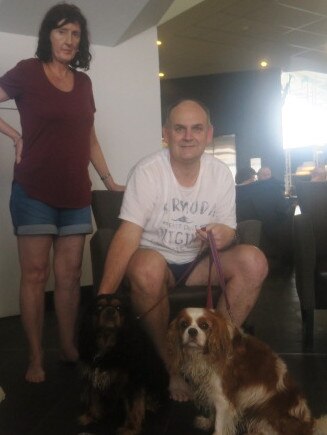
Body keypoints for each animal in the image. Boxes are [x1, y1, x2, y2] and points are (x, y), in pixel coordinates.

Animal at [168, 308, 326, 435]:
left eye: (204, 326)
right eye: (184, 324)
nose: (192, 331)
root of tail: (310, 425)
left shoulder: (223, 397)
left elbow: (220, 423)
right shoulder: (211, 388)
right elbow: (214, 412)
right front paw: (208, 422)